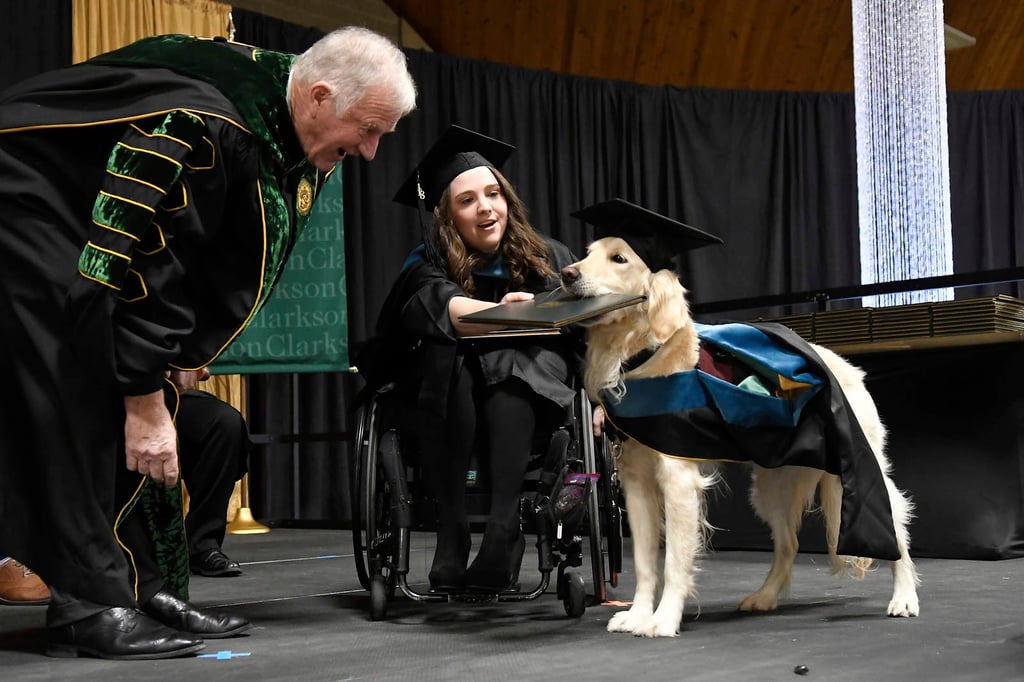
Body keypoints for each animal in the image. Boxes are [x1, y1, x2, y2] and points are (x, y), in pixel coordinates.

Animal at [561, 236, 921, 634]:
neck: (641, 354)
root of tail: (843, 364)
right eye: (587, 254)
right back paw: (764, 597)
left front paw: (664, 619)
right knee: (789, 543)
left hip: (856, 470)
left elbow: (673, 563)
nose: (566, 274)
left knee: (893, 529)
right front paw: (639, 615)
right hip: (772, 486)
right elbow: (643, 562)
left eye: (619, 259)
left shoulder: (678, 479)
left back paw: (904, 597)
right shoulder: (636, 481)